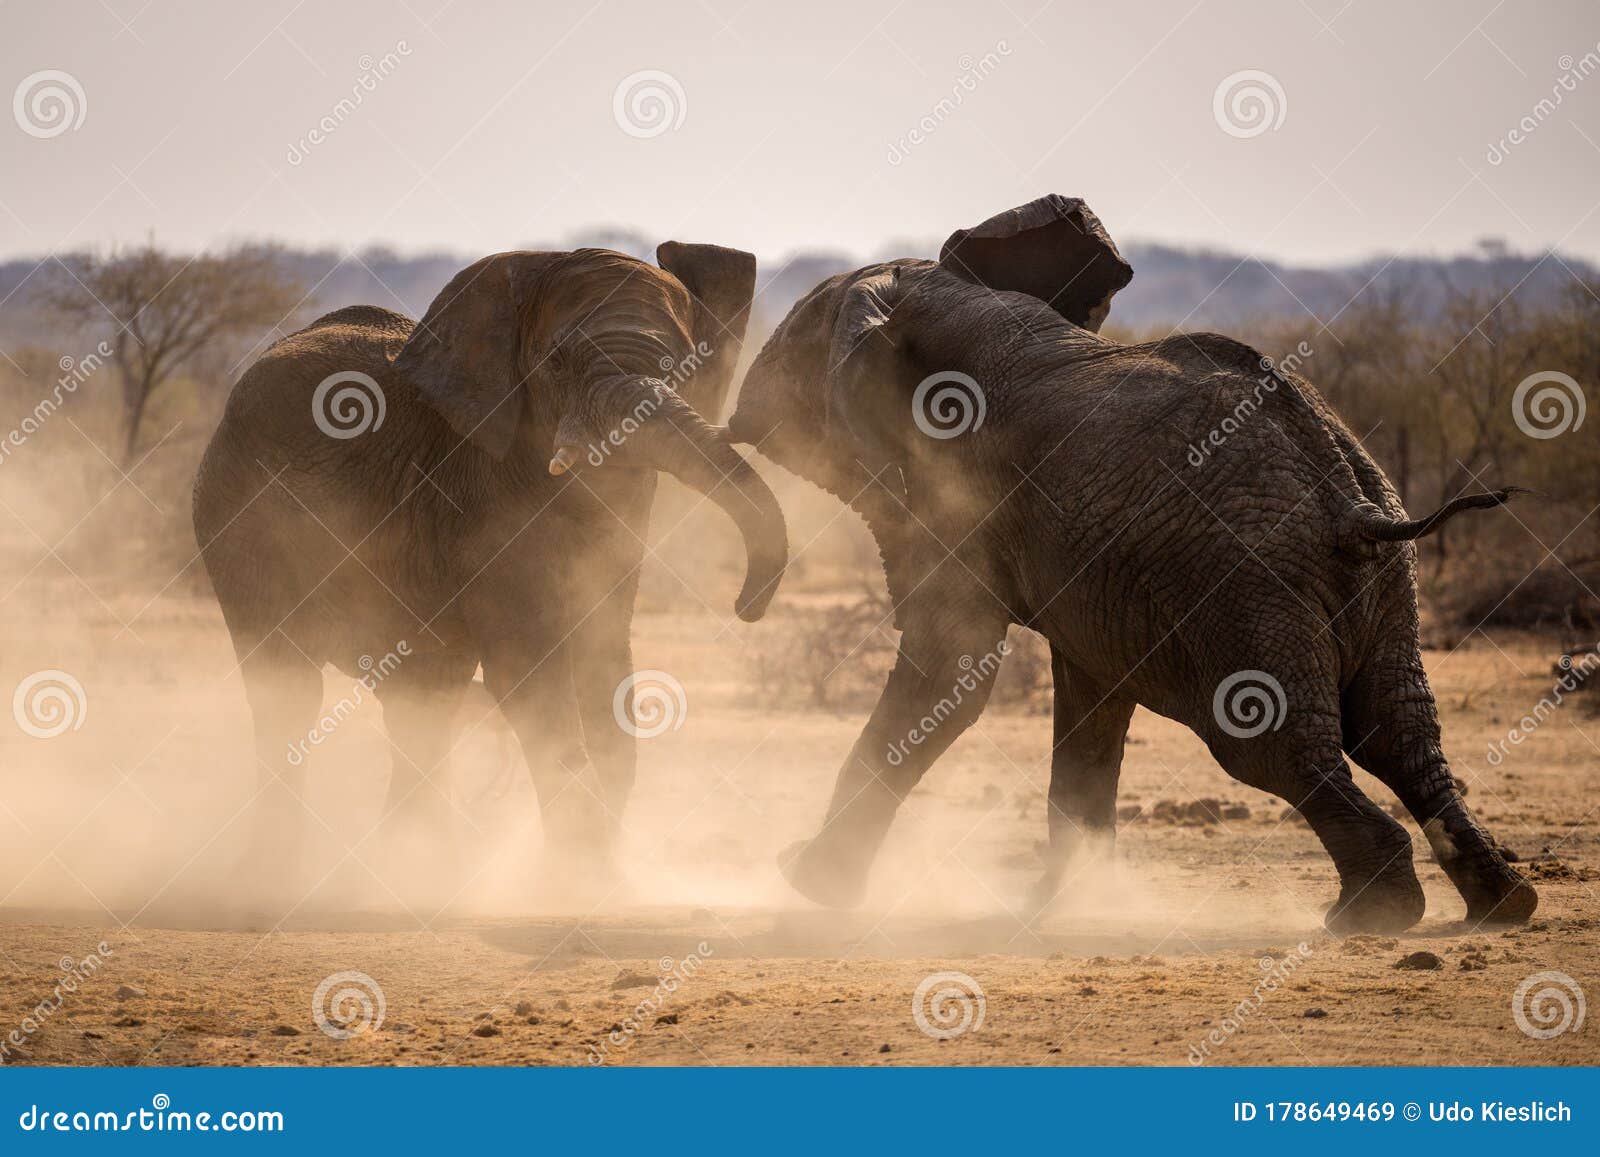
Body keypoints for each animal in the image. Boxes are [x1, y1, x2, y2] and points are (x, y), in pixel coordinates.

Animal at [193, 241, 787, 896]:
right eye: (557, 362)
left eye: (682, 364)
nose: (746, 607)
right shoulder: (483, 498)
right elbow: (529, 676)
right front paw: (580, 886)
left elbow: (605, 662)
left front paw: (603, 883)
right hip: (235, 511)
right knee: (287, 687)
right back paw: (274, 879)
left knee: (424, 695)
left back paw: (418, 874)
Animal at [732, 194, 1536, 934]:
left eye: (798, 334)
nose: (738, 416)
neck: (946, 295)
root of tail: (1346, 496)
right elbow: (1090, 696)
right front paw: (1054, 908)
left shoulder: (954, 486)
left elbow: (951, 668)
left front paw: (806, 882)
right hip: (1381, 580)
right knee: (1398, 730)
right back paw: (1501, 902)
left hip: (1243, 586)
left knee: (1274, 744)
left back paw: (1372, 912)